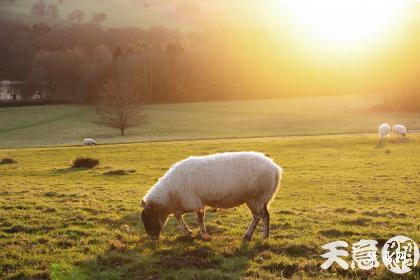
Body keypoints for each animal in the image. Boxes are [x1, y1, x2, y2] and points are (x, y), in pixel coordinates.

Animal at [141, 152, 282, 242]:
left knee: (258, 216)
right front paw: (187, 232)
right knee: (265, 215)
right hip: (262, 198)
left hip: (257, 197)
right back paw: (265, 236)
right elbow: (178, 216)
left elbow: (198, 219)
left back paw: (249, 236)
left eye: (151, 217)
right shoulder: (186, 203)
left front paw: (204, 235)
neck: (170, 194)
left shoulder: (193, 202)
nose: (152, 239)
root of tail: (276, 169)